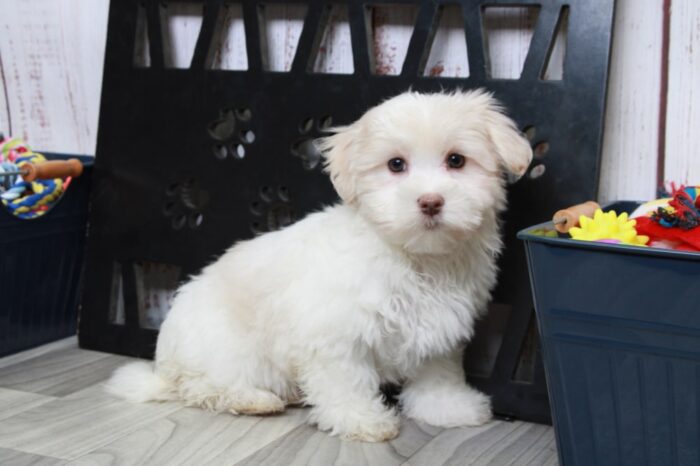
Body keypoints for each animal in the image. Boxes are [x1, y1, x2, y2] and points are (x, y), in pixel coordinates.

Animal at [105, 89, 532, 442]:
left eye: (456, 160)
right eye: (395, 165)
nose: (430, 201)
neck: (414, 257)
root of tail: (164, 364)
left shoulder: (439, 328)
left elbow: (438, 372)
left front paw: (447, 407)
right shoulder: (335, 335)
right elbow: (347, 381)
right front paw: (362, 421)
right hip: (222, 349)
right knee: (202, 387)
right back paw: (252, 399)